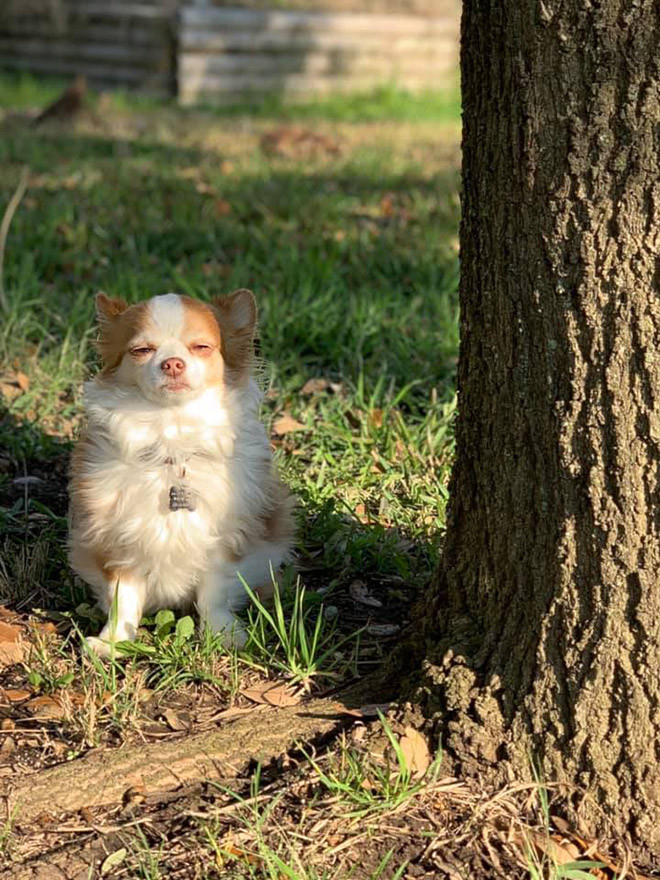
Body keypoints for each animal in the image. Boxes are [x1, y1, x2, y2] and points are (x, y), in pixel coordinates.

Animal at [69, 288, 294, 652]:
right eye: (142, 350)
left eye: (201, 347)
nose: (172, 362)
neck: (172, 436)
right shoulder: (117, 537)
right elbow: (123, 596)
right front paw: (114, 642)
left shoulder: (224, 538)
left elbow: (214, 592)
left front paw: (223, 634)